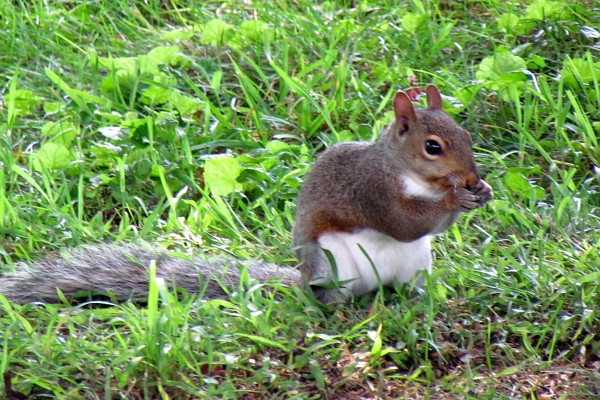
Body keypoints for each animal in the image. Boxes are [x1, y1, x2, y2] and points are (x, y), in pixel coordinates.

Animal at [0, 84, 492, 304]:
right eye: (433, 147)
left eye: (467, 135)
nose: (471, 177)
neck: (409, 174)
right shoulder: (373, 191)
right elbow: (404, 222)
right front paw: (455, 201)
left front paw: (478, 193)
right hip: (333, 265)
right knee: (333, 298)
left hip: (417, 264)